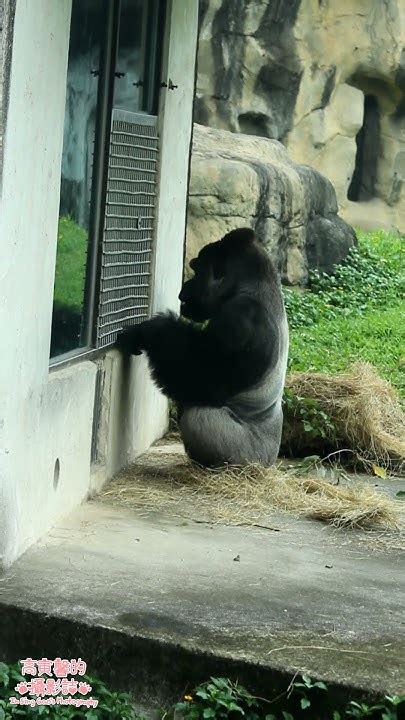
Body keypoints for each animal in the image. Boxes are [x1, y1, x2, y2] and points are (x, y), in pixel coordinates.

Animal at [115, 228, 288, 470]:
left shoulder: (241, 319)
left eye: (197, 271)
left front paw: (152, 331)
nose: (183, 291)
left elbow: (202, 376)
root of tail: (270, 462)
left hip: (248, 458)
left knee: (200, 417)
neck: (253, 286)